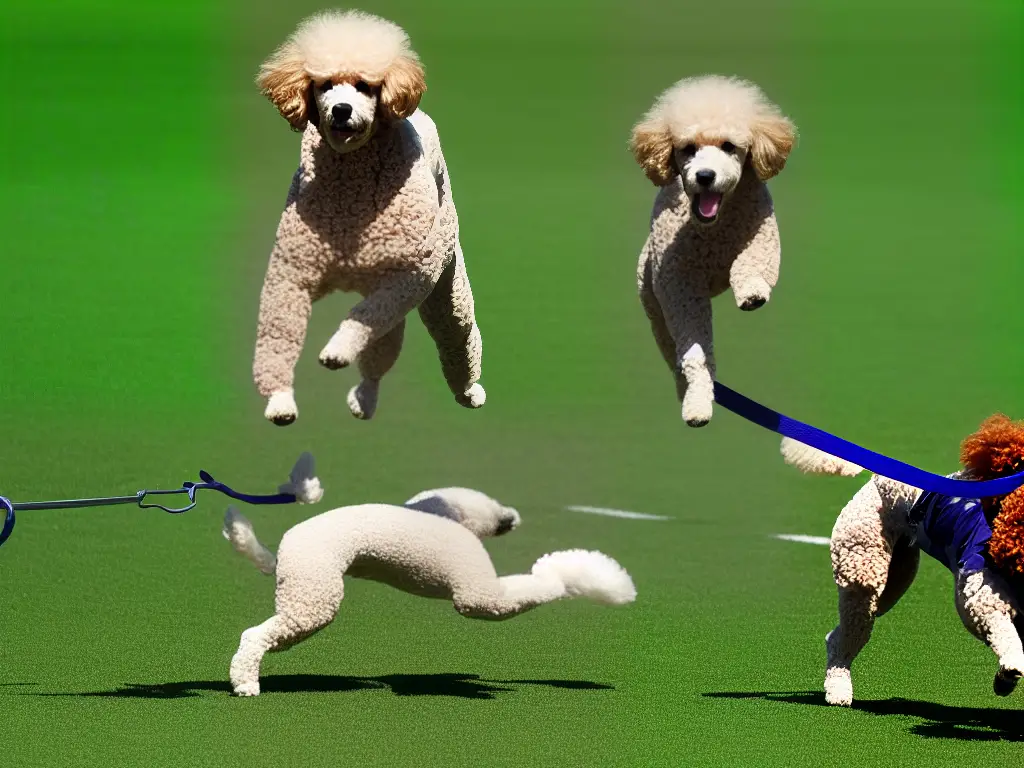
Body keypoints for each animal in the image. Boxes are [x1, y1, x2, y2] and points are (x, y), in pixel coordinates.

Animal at [226, 462, 630, 696]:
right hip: (313, 596)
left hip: (304, 588)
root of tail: (283, 549)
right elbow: (541, 584)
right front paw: (596, 578)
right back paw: (245, 682)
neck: (452, 517)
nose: (512, 517)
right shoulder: (475, 592)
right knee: (256, 636)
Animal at [782, 417, 1024, 708]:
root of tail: (878, 478)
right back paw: (838, 688)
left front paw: (1004, 680)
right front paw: (1010, 668)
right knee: (854, 626)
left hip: (897, 575)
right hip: (863, 564)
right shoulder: (982, 593)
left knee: (840, 633)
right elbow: (1002, 630)